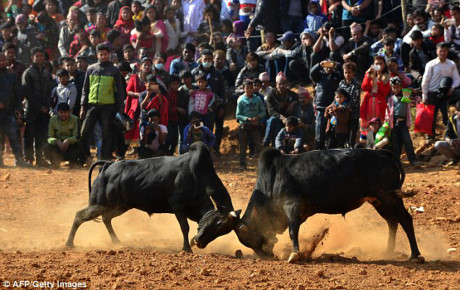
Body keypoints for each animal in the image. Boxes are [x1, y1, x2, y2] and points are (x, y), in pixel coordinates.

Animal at [67, 142, 244, 250]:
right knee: (79, 216)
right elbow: (184, 227)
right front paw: (187, 248)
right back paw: (69, 244)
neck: (197, 176)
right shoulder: (177, 206)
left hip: (119, 206)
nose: (200, 243)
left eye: (222, 231)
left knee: (106, 219)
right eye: (218, 223)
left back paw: (117, 242)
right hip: (100, 204)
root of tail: (107, 165)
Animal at [234, 148, 424, 264]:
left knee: (405, 220)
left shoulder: (291, 206)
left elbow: (292, 230)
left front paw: (294, 254)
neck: (272, 179)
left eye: (251, 238)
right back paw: (388, 251)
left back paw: (415, 255)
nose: (267, 256)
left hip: (390, 197)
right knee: (392, 221)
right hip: (379, 200)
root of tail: (382, 153)